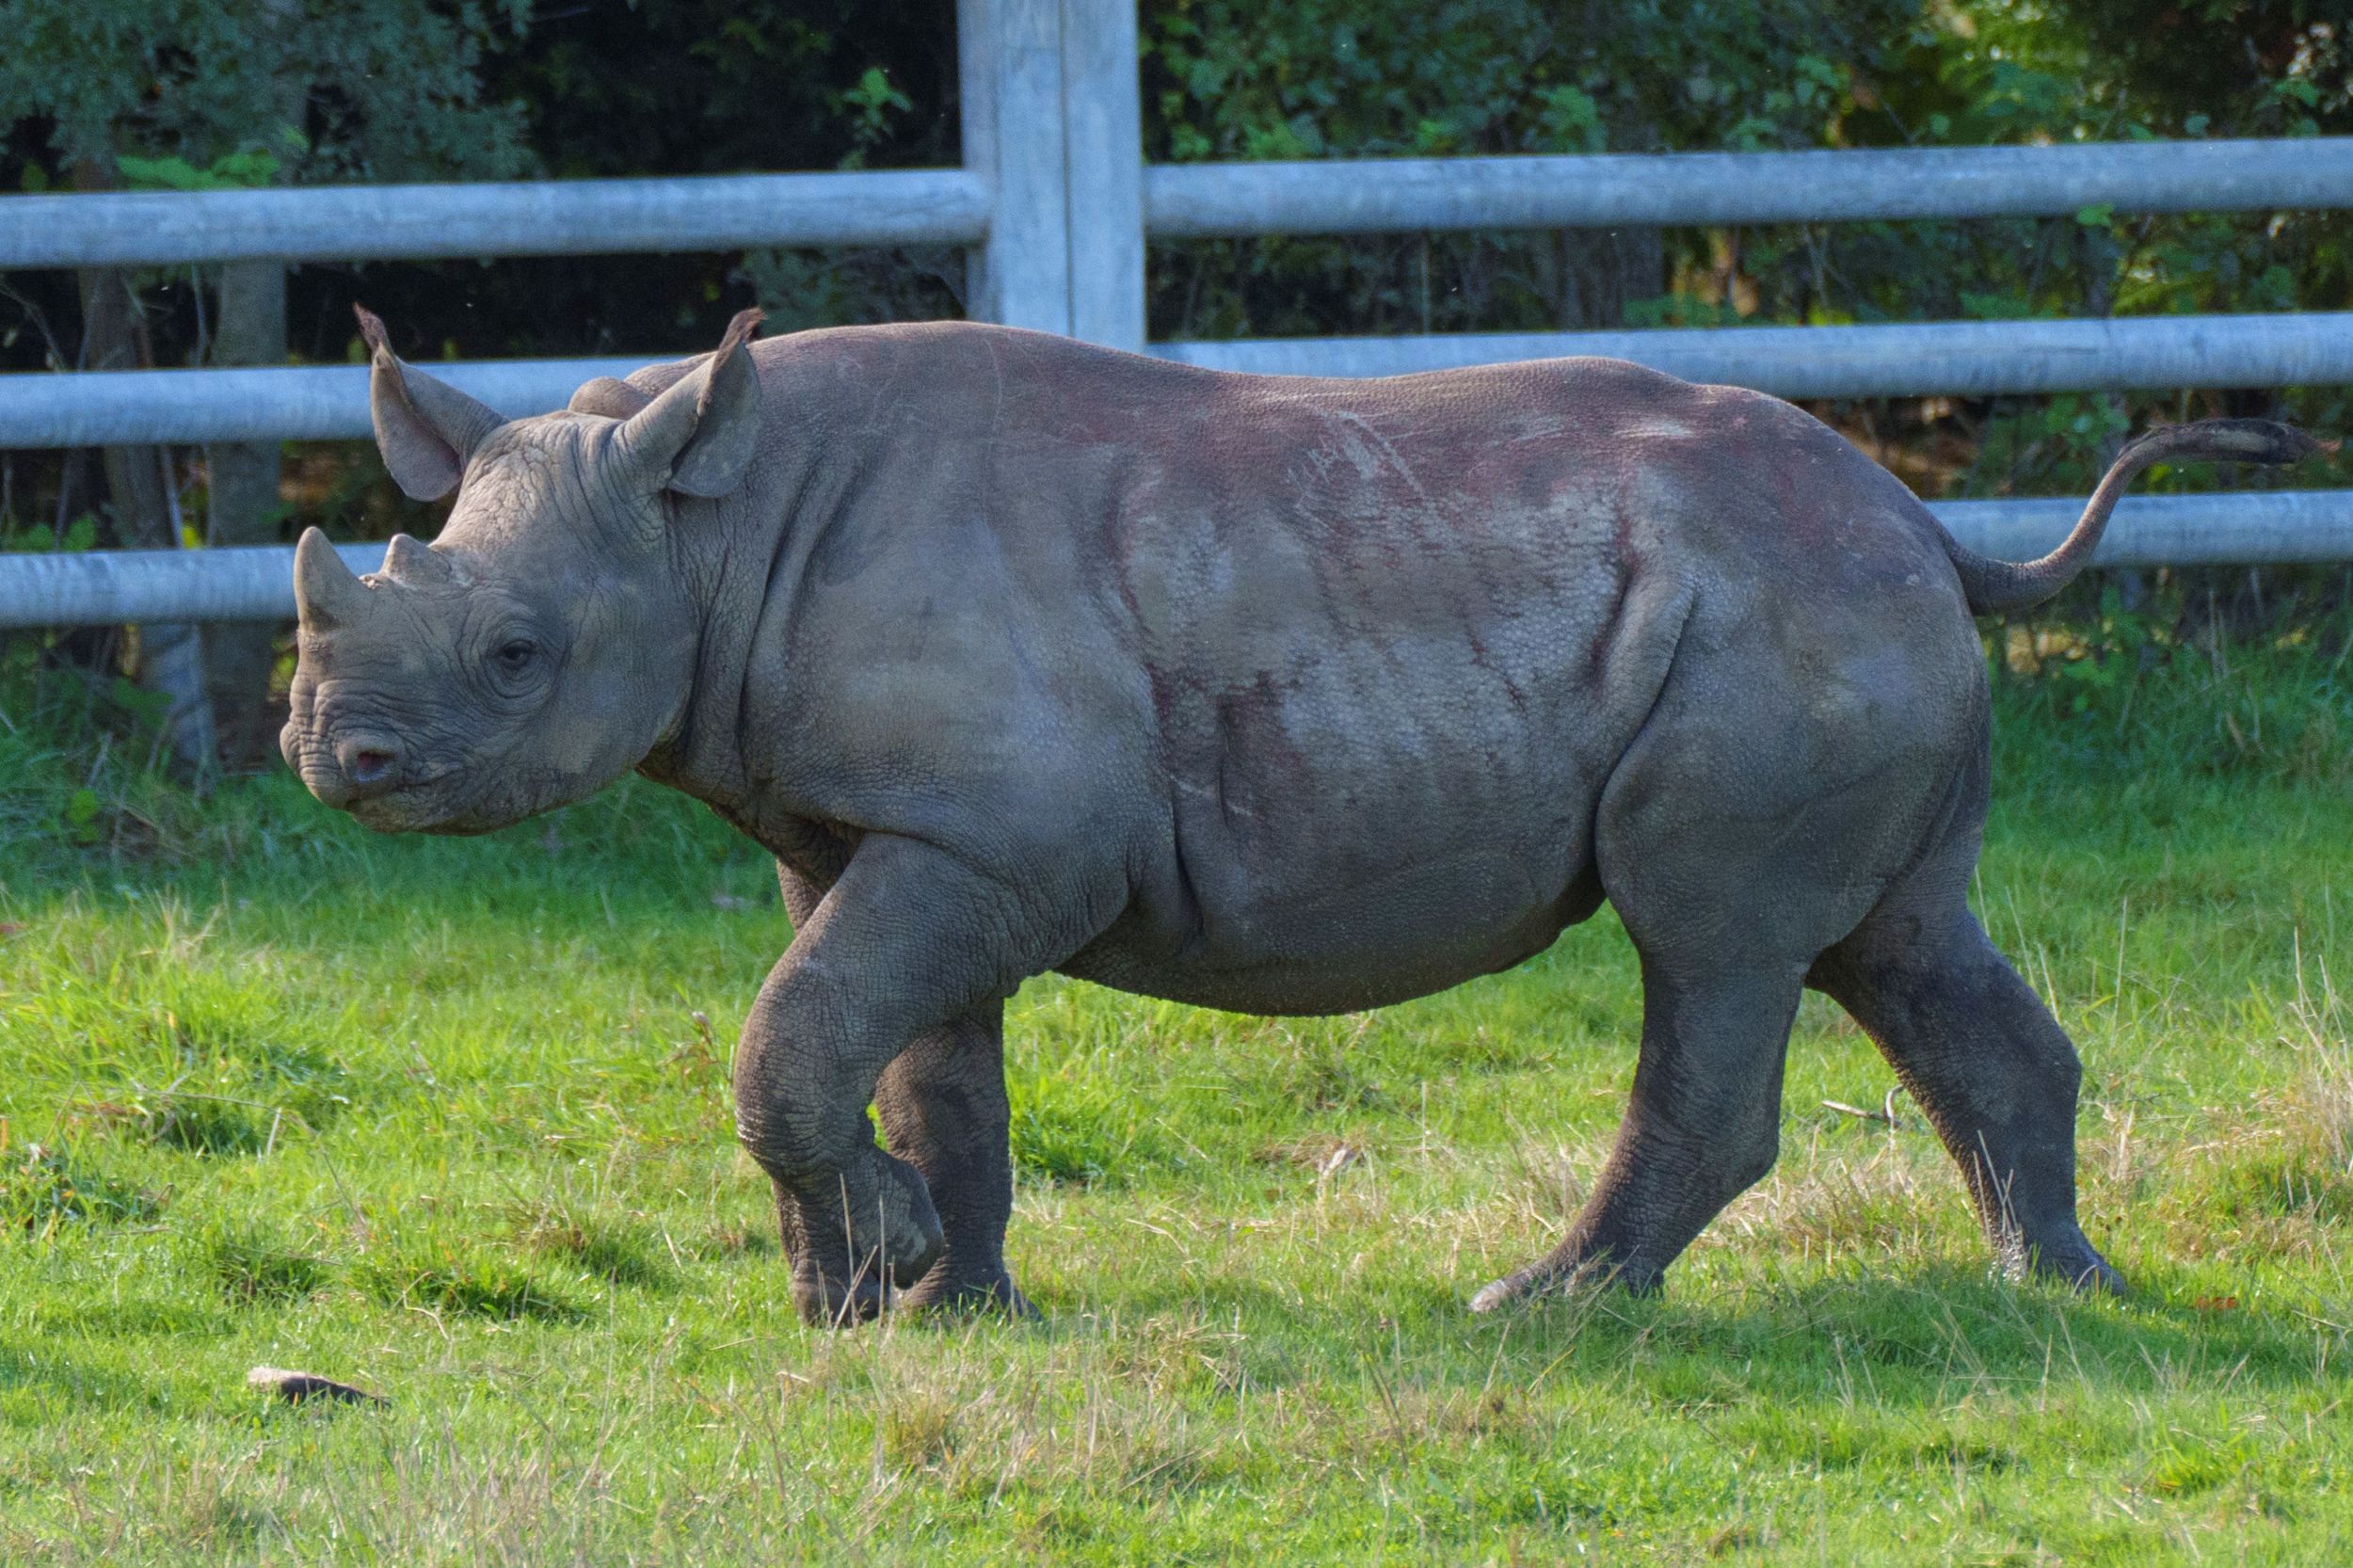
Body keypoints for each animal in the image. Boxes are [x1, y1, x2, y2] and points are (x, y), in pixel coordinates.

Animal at [284, 303, 2319, 1322]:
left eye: (517, 653)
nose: (331, 757)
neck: (709, 524)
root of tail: (1930, 523)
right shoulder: (895, 826)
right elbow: (901, 1057)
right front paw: (920, 1301)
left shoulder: (995, 838)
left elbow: (793, 1040)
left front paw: (882, 1272)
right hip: (1840, 616)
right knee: (1893, 940)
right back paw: (2055, 1290)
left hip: (1776, 623)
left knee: (1716, 941)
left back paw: (1541, 1308)